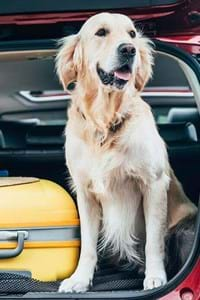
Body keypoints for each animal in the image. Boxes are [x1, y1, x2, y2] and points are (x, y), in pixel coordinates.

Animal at [56, 12, 197, 292]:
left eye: (132, 34)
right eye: (101, 32)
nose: (129, 49)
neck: (106, 122)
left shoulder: (153, 184)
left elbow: (153, 240)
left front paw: (155, 276)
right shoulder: (85, 192)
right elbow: (88, 245)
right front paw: (80, 279)